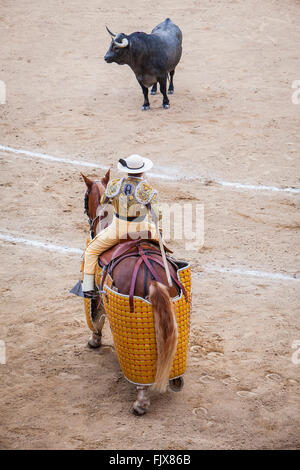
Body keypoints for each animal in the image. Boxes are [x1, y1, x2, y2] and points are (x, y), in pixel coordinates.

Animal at [82, 171, 185, 414]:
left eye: (84, 198)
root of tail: (153, 278)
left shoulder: (97, 295)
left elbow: (96, 319)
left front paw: (94, 341)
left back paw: (140, 402)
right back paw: (175, 380)